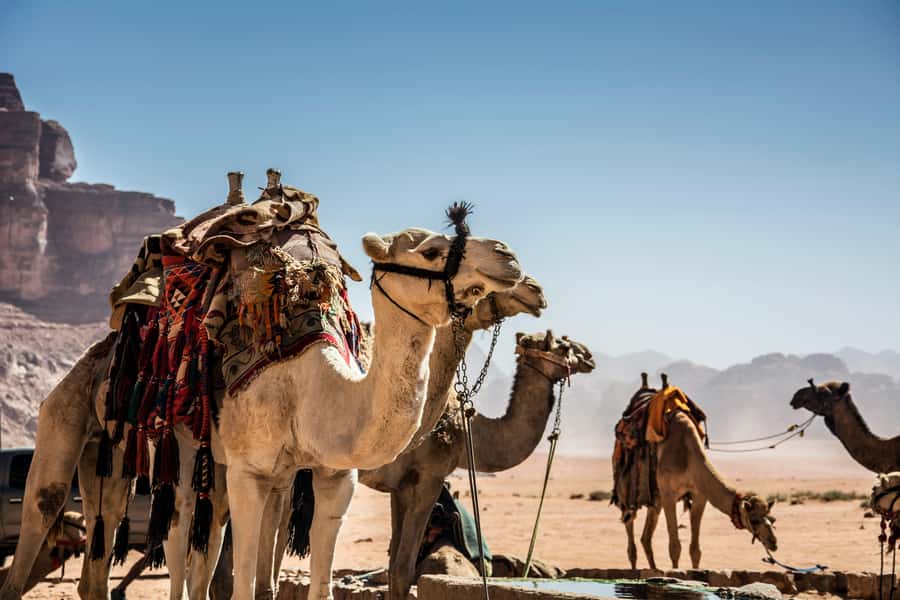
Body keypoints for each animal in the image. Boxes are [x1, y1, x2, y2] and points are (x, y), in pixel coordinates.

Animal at [0, 223, 524, 600]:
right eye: (431, 251)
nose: (508, 256)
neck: (315, 384)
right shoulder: (249, 471)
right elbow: (241, 587)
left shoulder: (332, 477)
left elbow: (311, 587)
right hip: (80, 416)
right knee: (57, 507)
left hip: (119, 456)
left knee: (137, 537)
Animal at [620, 377, 778, 571]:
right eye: (754, 519)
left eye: (772, 519)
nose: (773, 542)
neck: (687, 455)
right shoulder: (668, 494)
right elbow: (675, 546)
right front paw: (675, 572)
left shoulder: (699, 495)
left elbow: (695, 550)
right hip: (629, 487)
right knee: (629, 522)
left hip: (654, 498)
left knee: (646, 537)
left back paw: (653, 568)